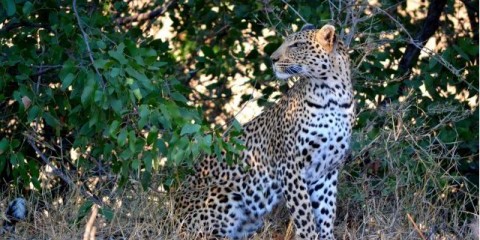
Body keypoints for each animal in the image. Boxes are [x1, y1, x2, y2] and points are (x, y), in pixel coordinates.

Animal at [174, 23, 354, 240]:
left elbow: (326, 212)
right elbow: (305, 216)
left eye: (297, 45)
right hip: (224, 196)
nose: (272, 59)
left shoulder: (327, 170)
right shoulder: (290, 166)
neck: (332, 94)